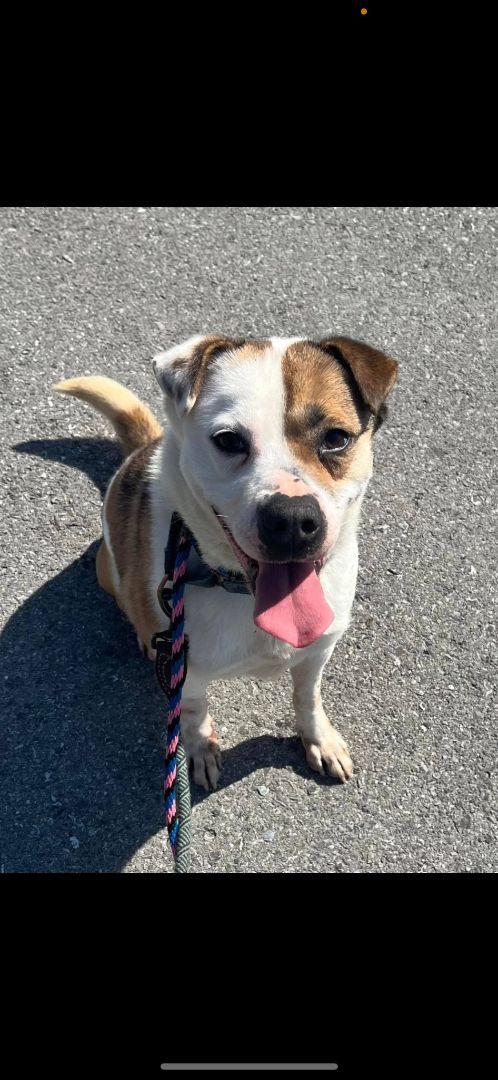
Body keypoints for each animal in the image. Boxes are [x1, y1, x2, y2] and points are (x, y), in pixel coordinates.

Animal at [53, 332, 395, 790]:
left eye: (336, 437)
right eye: (229, 440)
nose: (292, 520)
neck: (237, 588)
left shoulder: (318, 650)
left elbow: (307, 696)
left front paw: (318, 738)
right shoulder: (186, 671)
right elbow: (193, 712)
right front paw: (197, 750)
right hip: (108, 570)